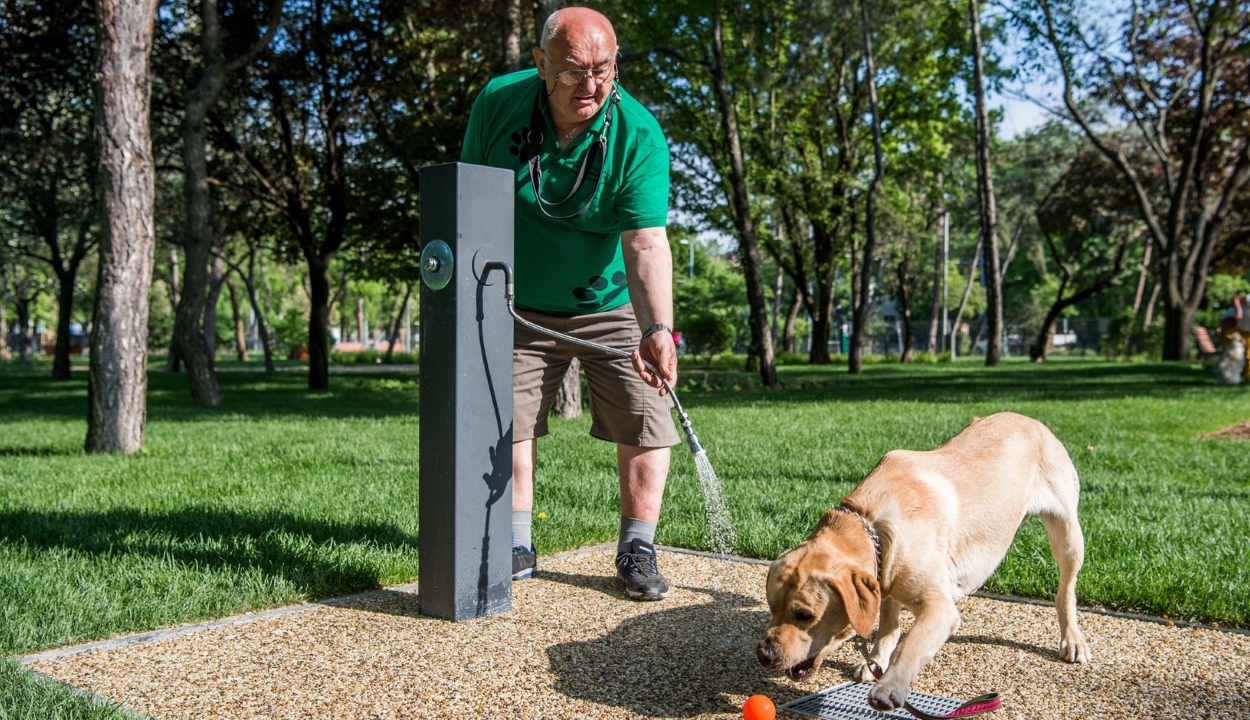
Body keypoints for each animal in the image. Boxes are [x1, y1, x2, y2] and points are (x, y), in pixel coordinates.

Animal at [755, 412, 1090, 710]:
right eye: (773, 607)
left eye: (805, 615)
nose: (763, 654)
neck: (871, 523)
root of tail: (1030, 419)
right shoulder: (885, 577)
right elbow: (889, 627)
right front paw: (877, 660)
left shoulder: (939, 607)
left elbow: (910, 644)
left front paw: (890, 684)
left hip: (1068, 533)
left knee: (1066, 590)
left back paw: (1072, 639)